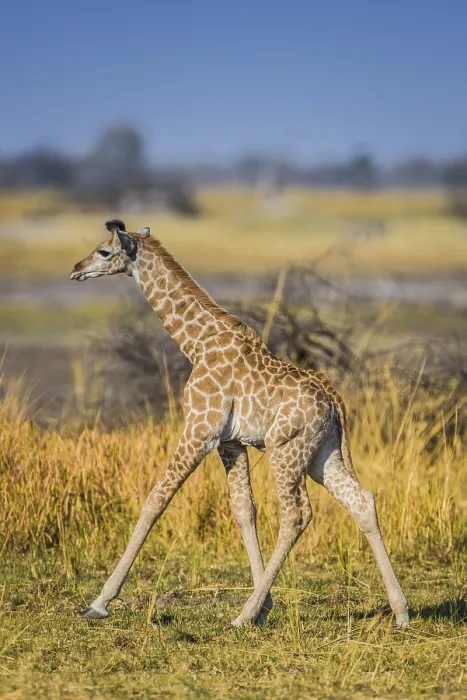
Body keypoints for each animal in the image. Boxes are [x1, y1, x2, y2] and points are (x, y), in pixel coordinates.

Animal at [69, 219, 409, 628]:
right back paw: (401, 611)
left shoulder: (200, 429)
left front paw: (100, 601)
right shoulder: (230, 442)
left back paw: (242, 615)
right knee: (360, 500)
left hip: (286, 450)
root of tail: (334, 401)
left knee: (296, 515)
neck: (198, 344)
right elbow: (244, 510)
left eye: (104, 251)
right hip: (321, 454)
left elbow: (155, 500)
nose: (76, 269)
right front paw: (265, 605)